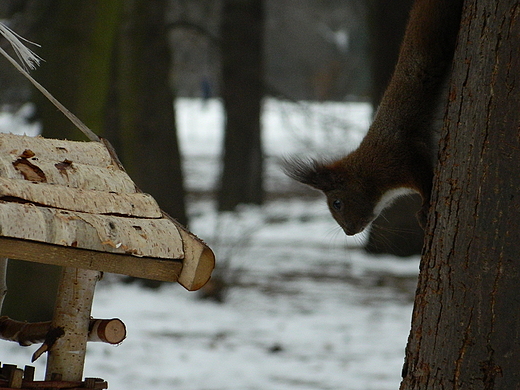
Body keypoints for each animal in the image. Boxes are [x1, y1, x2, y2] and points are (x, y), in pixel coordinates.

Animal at [284, 0, 464, 235]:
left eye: (337, 203)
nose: (349, 231)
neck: (367, 168)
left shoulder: (403, 158)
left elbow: (426, 180)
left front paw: (424, 210)